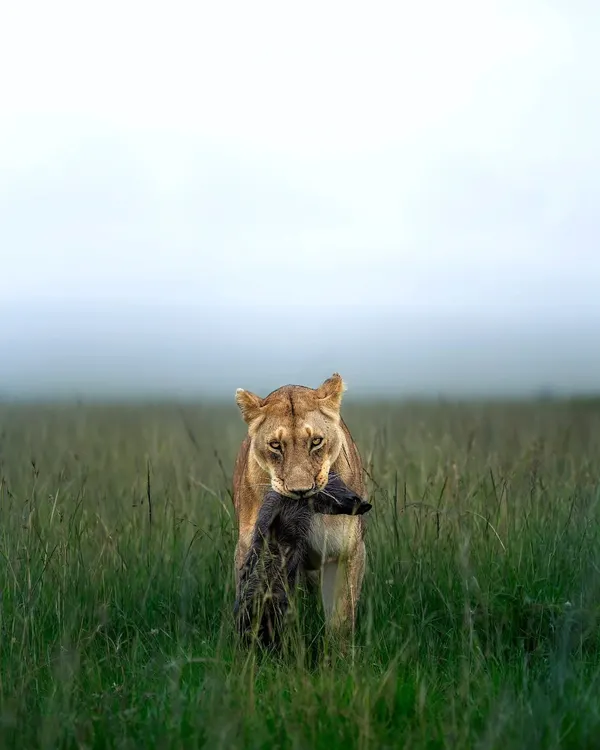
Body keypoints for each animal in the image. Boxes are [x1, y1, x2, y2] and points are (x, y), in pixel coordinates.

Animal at [232, 373, 368, 636]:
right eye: (275, 445)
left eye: (316, 441)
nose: (301, 491)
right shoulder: (250, 551)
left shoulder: (347, 553)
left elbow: (341, 620)